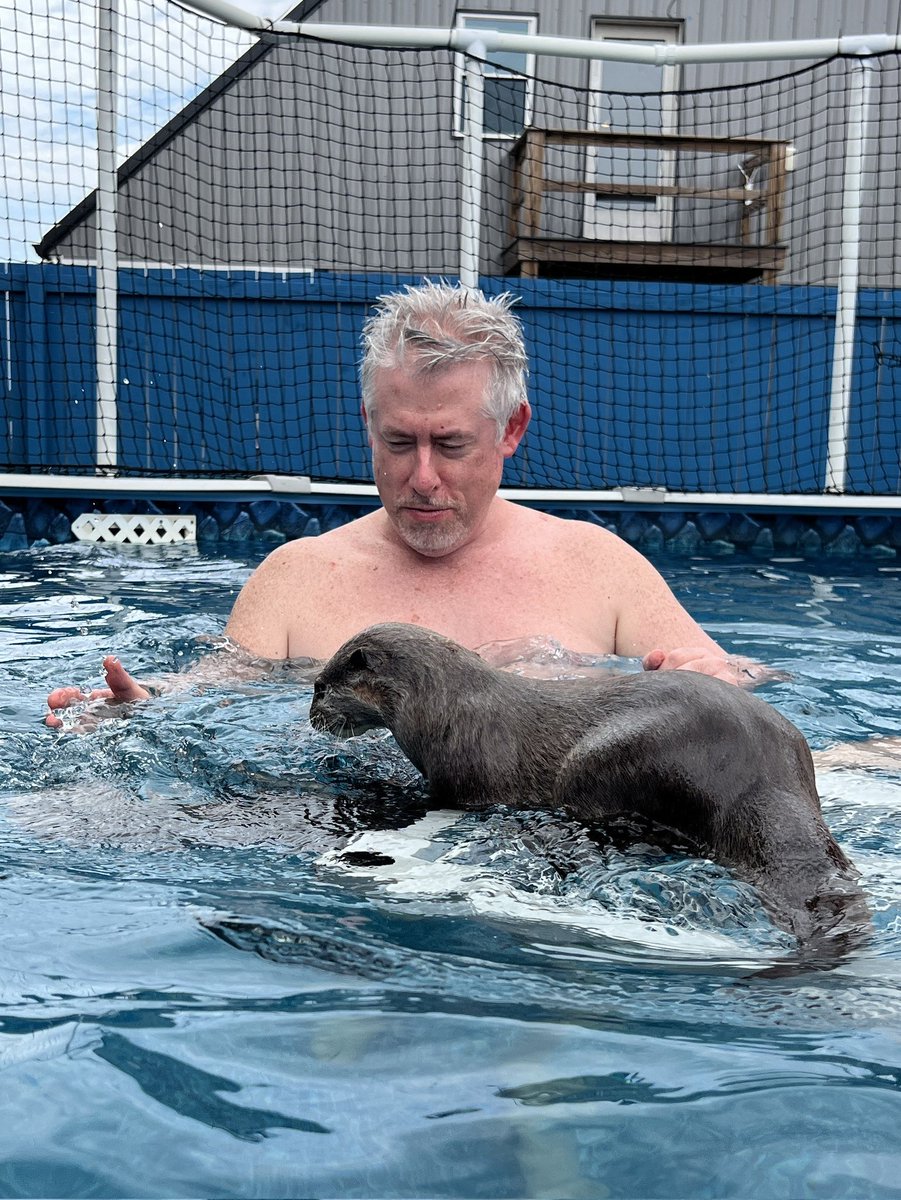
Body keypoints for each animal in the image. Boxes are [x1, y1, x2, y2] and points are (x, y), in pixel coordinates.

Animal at [310, 622, 868, 960]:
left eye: (319, 687)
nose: (312, 713)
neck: (446, 709)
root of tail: (765, 778)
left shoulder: (461, 779)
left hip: (609, 757)